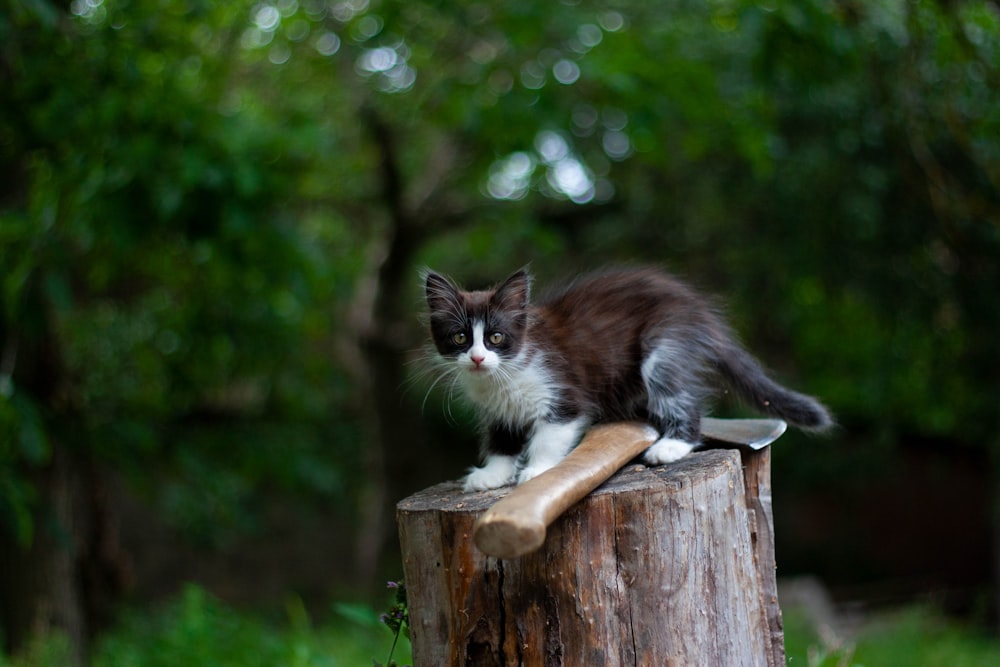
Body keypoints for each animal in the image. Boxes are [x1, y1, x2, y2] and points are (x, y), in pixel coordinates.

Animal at [426, 268, 832, 494]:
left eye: (496, 337)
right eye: (460, 338)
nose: (477, 358)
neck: (503, 375)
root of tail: (699, 311)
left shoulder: (564, 393)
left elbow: (549, 436)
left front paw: (538, 472)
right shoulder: (498, 410)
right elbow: (501, 441)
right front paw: (491, 475)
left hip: (664, 344)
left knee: (682, 400)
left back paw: (670, 446)